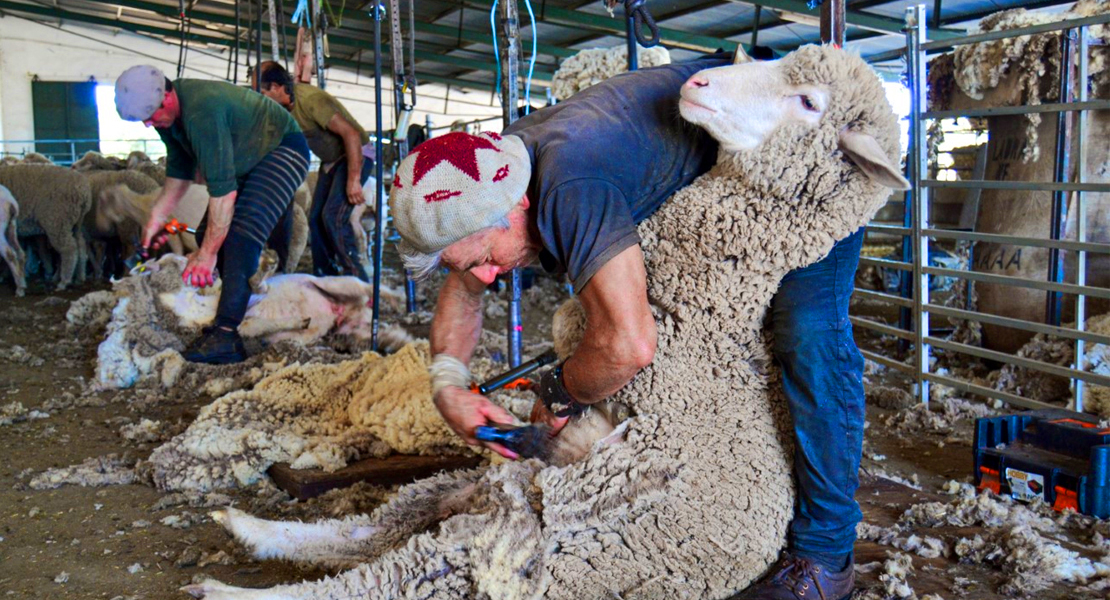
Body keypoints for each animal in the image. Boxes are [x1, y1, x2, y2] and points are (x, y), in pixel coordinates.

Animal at [186, 46, 905, 598]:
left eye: (808, 101)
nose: (698, 83)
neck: (707, 321)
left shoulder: (586, 216)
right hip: (478, 493)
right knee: (367, 533)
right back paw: (245, 527)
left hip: (516, 544)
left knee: (373, 572)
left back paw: (224, 576)